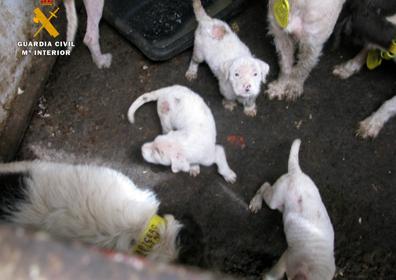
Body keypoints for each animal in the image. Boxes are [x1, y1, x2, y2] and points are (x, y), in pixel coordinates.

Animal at [249, 140, 336, 280]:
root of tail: (296, 172)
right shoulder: (288, 257)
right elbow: (275, 272)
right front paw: (268, 276)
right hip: (275, 199)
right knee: (265, 185)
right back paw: (256, 202)